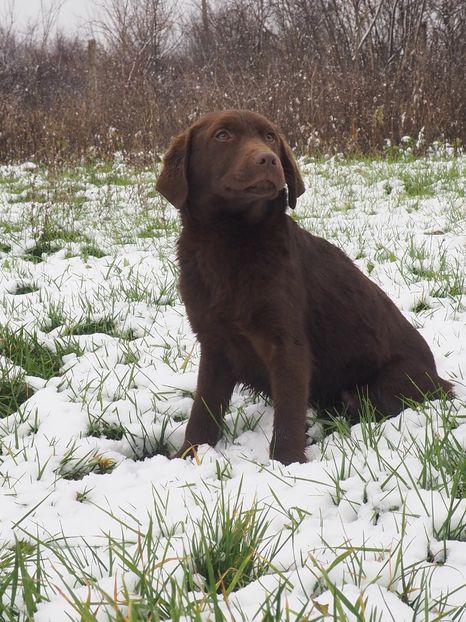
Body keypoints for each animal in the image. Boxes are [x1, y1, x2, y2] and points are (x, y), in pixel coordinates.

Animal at [156, 109, 452, 466]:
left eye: (270, 137)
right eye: (222, 135)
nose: (268, 159)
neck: (231, 242)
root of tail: (439, 379)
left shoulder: (287, 346)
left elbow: (288, 415)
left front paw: (285, 465)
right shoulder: (214, 342)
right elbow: (203, 410)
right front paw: (190, 456)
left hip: (379, 386)